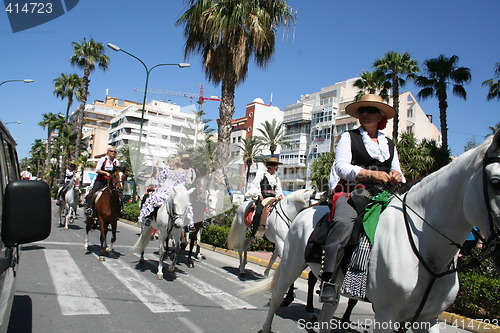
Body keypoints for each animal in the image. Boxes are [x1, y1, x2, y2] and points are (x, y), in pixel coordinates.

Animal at [246, 131, 500, 332]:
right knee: (277, 295)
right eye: (496, 182)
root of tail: (305, 213)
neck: (427, 251)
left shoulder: (428, 319)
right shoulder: (387, 314)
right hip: (291, 263)